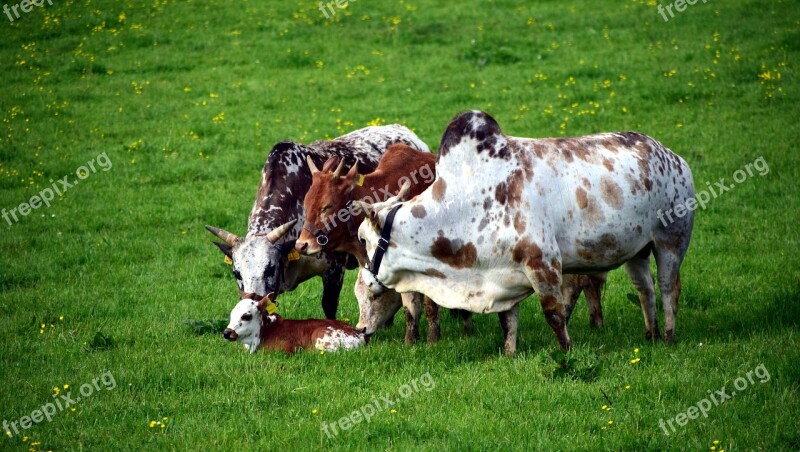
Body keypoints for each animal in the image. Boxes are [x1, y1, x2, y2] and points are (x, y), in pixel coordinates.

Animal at [356, 109, 692, 354]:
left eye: (363, 238)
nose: (367, 282)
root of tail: (673, 157)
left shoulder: (543, 263)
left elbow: (554, 314)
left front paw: (567, 350)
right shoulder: (505, 274)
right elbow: (508, 320)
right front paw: (509, 353)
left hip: (670, 242)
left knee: (668, 289)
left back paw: (668, 337)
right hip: (637, 252)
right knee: (645, 289)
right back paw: (650, 334)